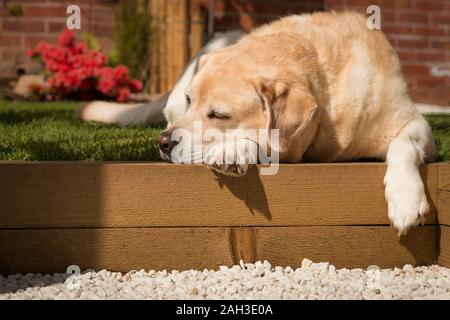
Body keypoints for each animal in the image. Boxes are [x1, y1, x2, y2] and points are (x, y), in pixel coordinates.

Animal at [77, 11, 436, 235]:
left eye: (219, 115)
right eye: (194, 101)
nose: (164, 143)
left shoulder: (413, 123)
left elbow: (402, 146)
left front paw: (406, 200)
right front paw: (234, 150)